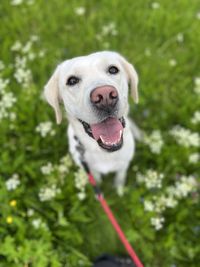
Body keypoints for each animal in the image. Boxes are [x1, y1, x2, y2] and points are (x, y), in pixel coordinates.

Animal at [44, 51, 140, 196]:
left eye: (113, 69)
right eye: (72, 81)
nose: (105, 96)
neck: (103, 153)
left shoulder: (124, 164)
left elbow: (120, 176)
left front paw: (119, 190)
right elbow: (96, 177)